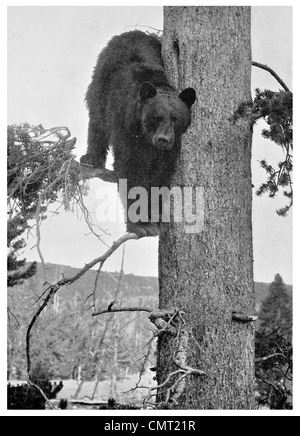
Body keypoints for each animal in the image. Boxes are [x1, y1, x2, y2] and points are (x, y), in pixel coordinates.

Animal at [81, 30, 196, 237]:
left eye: (175, 119)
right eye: (157, 117)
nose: (163, 140)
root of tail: (131, 32)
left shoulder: (173, 147)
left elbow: (161, 175)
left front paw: (155, 217)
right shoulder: (125, 127)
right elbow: (131, 169)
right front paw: (141, 223)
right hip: (101, 84)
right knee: (97, 121)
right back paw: (91, 158)